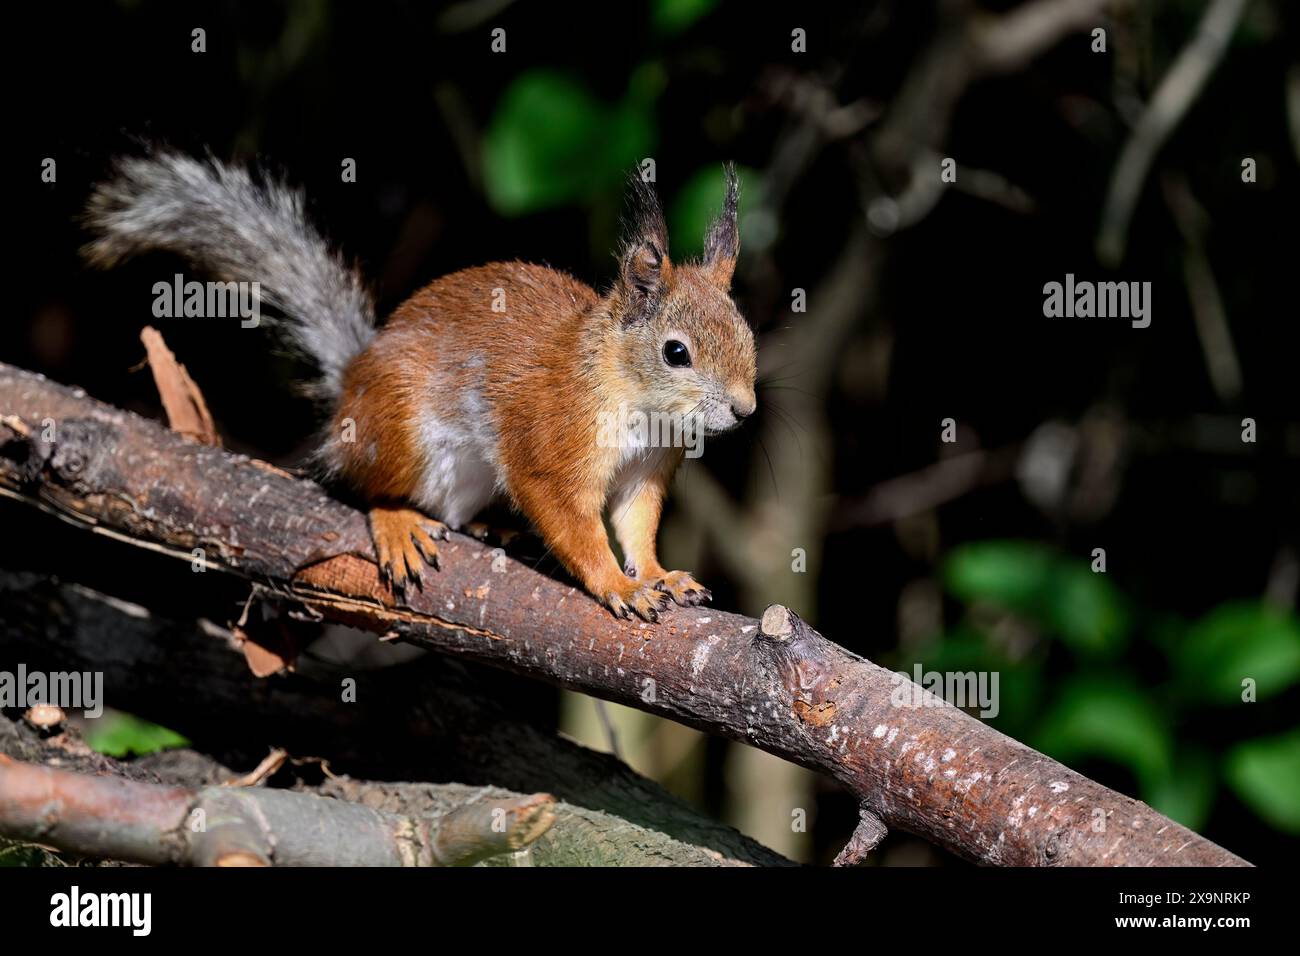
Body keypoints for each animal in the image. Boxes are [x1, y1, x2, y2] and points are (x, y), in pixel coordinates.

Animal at [83, 153, 757, 622]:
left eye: (748, 336)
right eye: (676, 353)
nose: (745, 410)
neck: (627, 391)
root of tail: (351, 388)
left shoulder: (646, 471)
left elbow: (635, 526)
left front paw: (659, 575)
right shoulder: (551, 444)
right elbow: (573, 524)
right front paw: (618, 585)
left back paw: (491, 526)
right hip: (401, 430)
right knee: (366, 484)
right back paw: (396, 523)